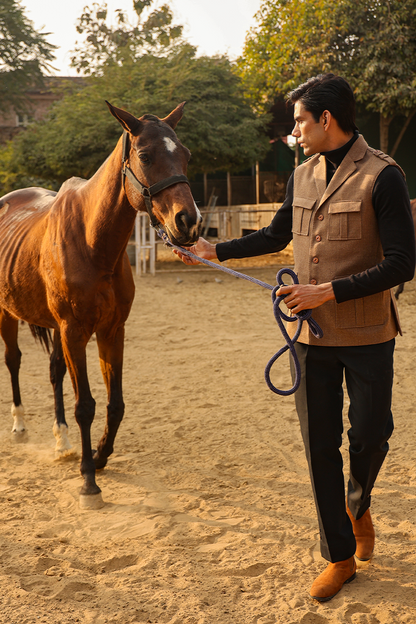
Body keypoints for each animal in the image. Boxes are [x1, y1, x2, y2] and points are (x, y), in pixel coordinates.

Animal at [0, 101, 202, 508]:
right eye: (145, 155)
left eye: (186, 155)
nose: (188, 222)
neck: (92, 243)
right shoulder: (75, 332)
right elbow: (86, 406)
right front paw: (89, 482)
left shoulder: (110, 331)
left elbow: (115, 404)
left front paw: (99, 456)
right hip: (6, 313)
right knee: (13, 360)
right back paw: (20, 425)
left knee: (54, 372)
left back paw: (63, 442)